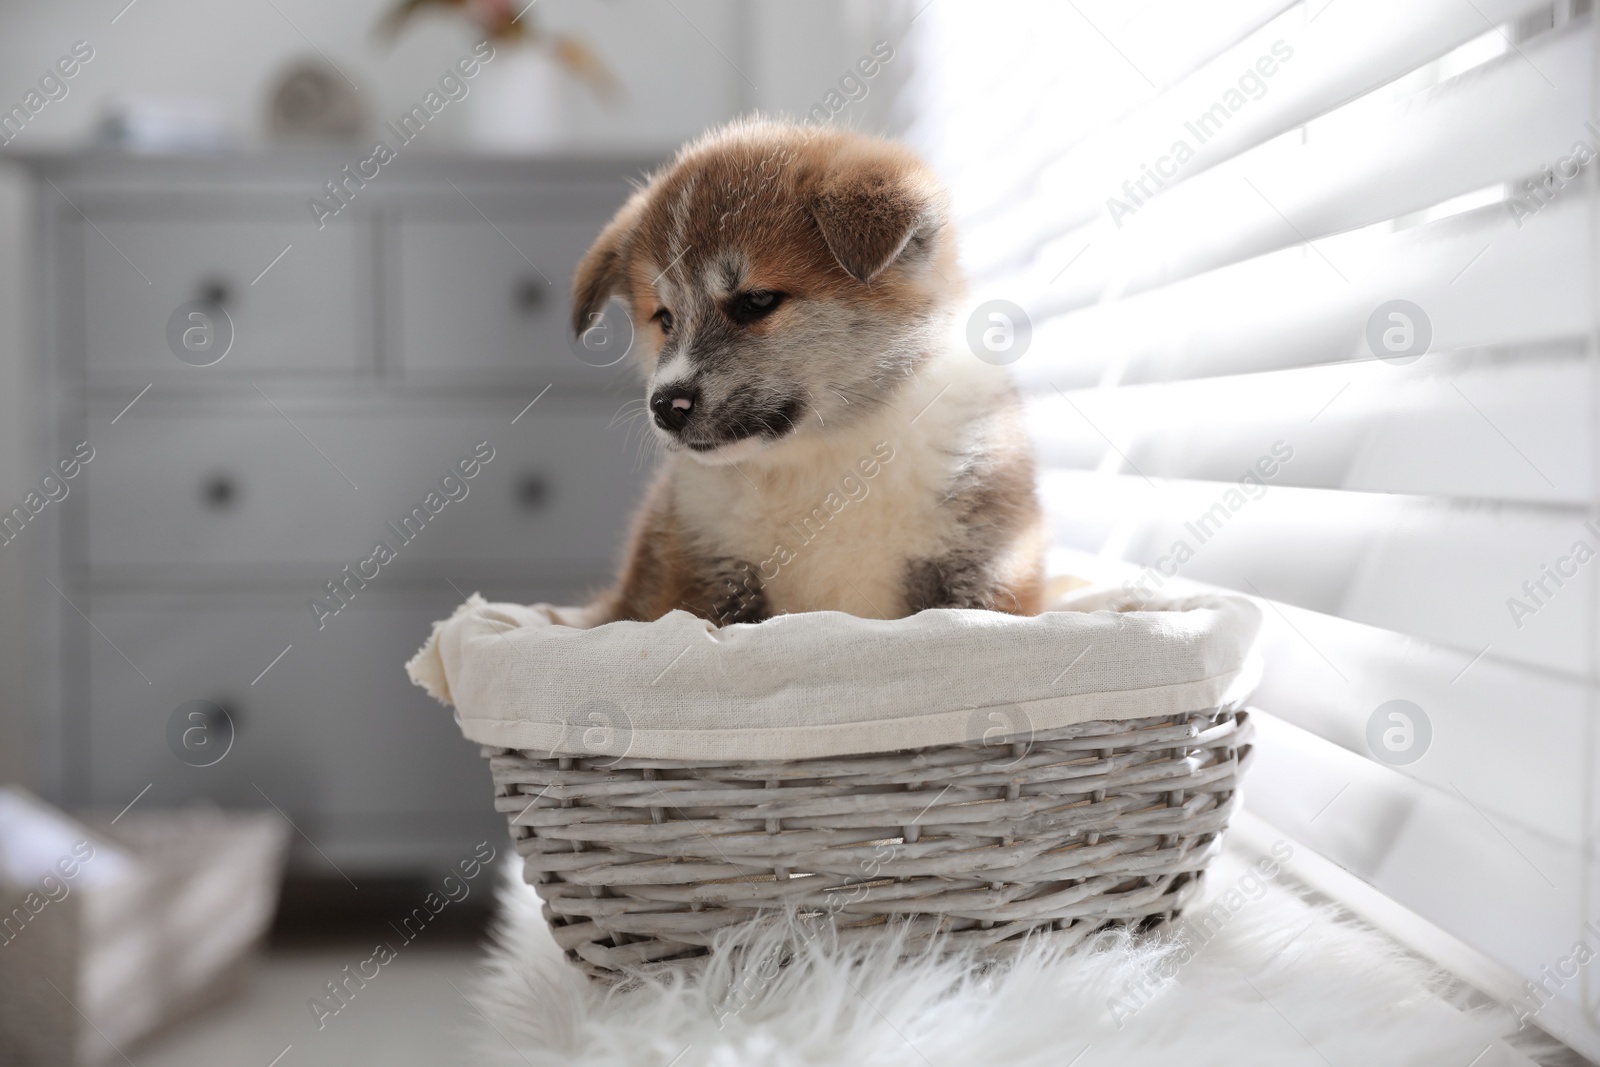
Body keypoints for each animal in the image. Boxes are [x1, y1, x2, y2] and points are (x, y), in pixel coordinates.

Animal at [569, 119, 1043, 627]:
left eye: (757, 301)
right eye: (665, 318)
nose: (664, 406)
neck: (825, 459)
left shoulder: (983, 569)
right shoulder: (693, 580)